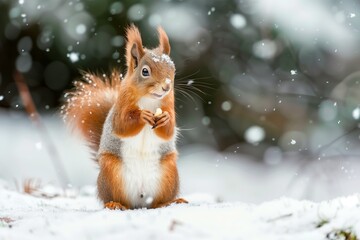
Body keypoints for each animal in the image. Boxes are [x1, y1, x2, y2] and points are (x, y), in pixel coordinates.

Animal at [62, 23, 188, 209]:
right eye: (145, 71)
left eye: (173, 69)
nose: (166, 87)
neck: (149, 99)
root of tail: (141, 199)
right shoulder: (121, 107)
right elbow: (122, 125)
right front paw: (142, 116)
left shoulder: (168, 105)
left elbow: (168, 131)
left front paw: (165, 120)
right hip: (112, 172)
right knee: (118, 199)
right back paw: (115, 204)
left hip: (168, 172)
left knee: (156, 202)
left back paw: (168, 202)